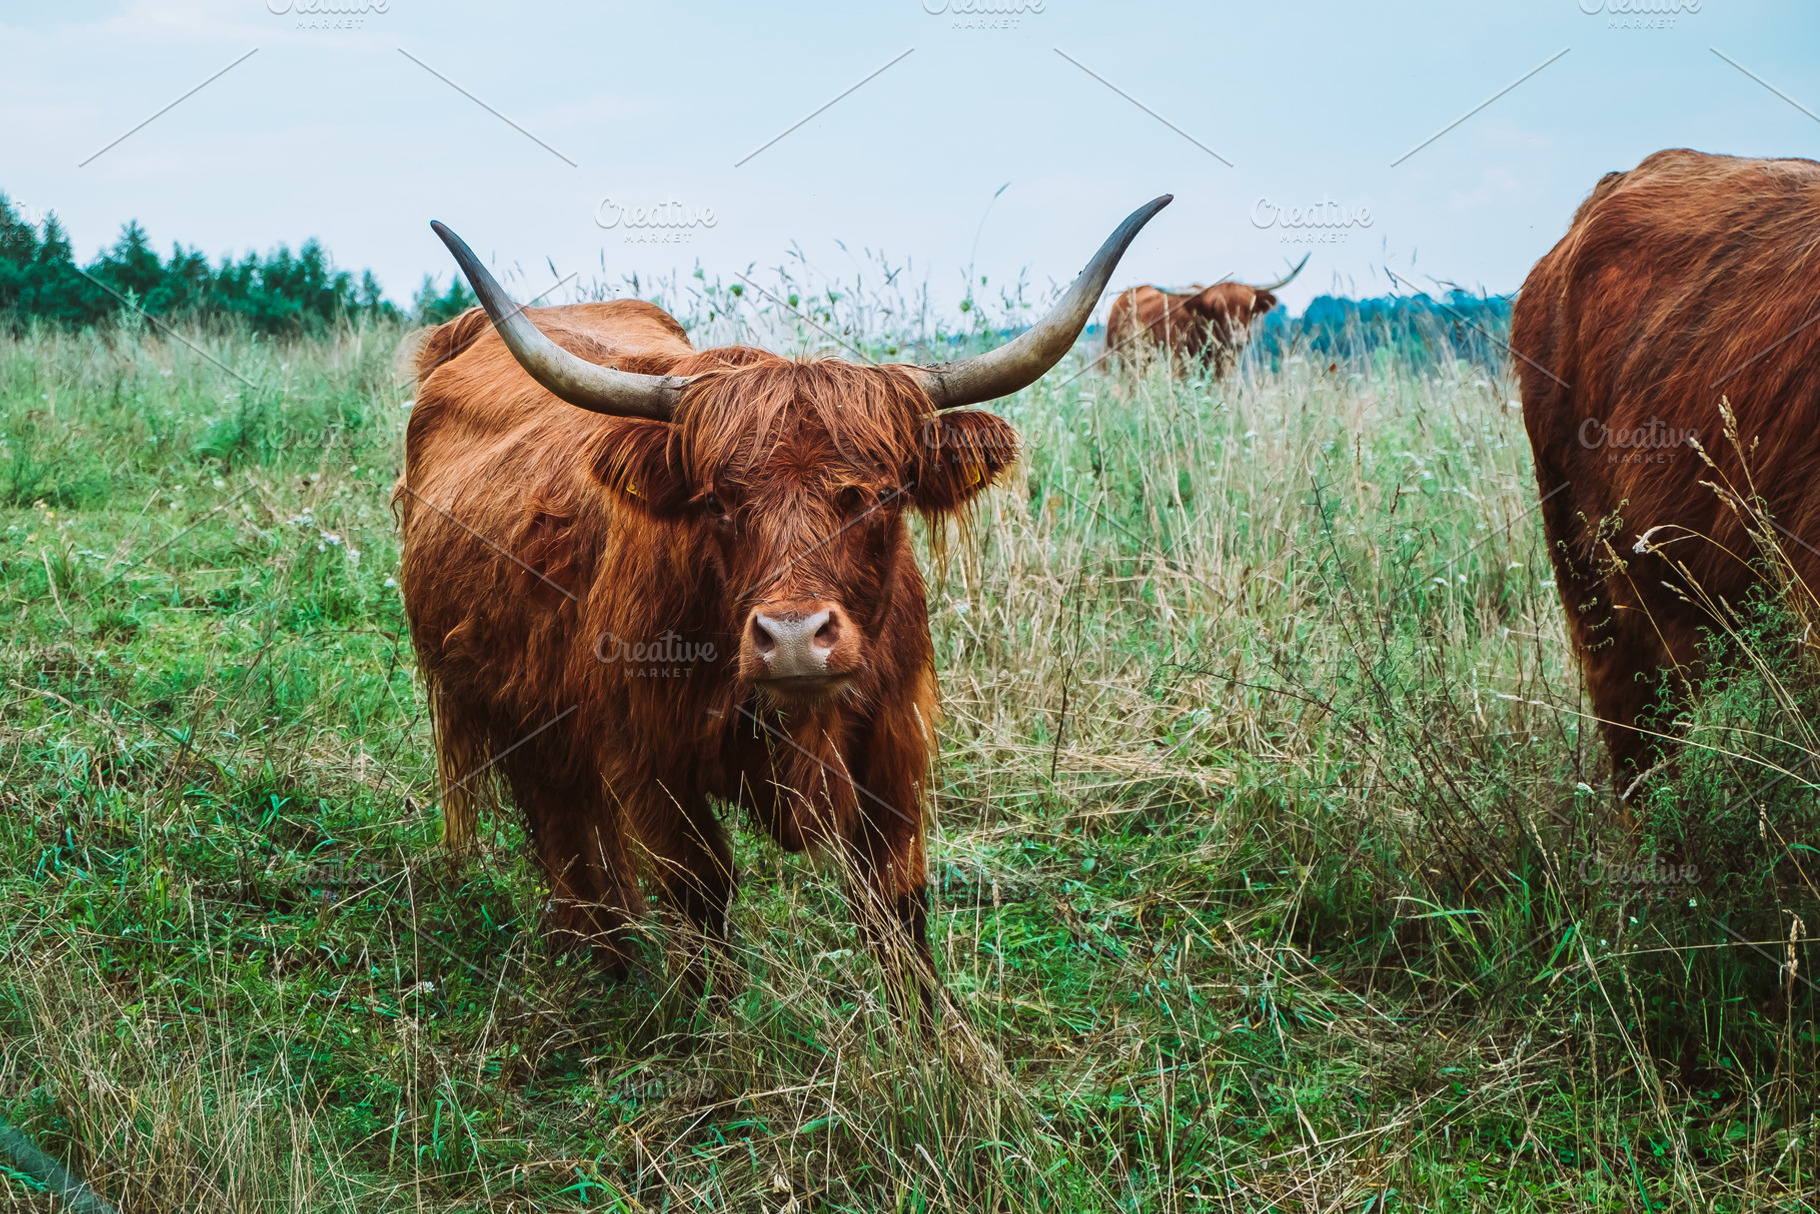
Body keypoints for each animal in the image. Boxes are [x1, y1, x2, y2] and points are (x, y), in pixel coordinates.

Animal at [395, 196, 1171, 1019]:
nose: (795, 636)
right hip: (519, 719)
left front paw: (929, 1036)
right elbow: (700, 890)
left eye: (881, 495)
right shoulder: (649, 762)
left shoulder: (893, 746)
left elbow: (897, 903)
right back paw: (602, 960)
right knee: (566, 836)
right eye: (717, 503)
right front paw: (709, 1026)